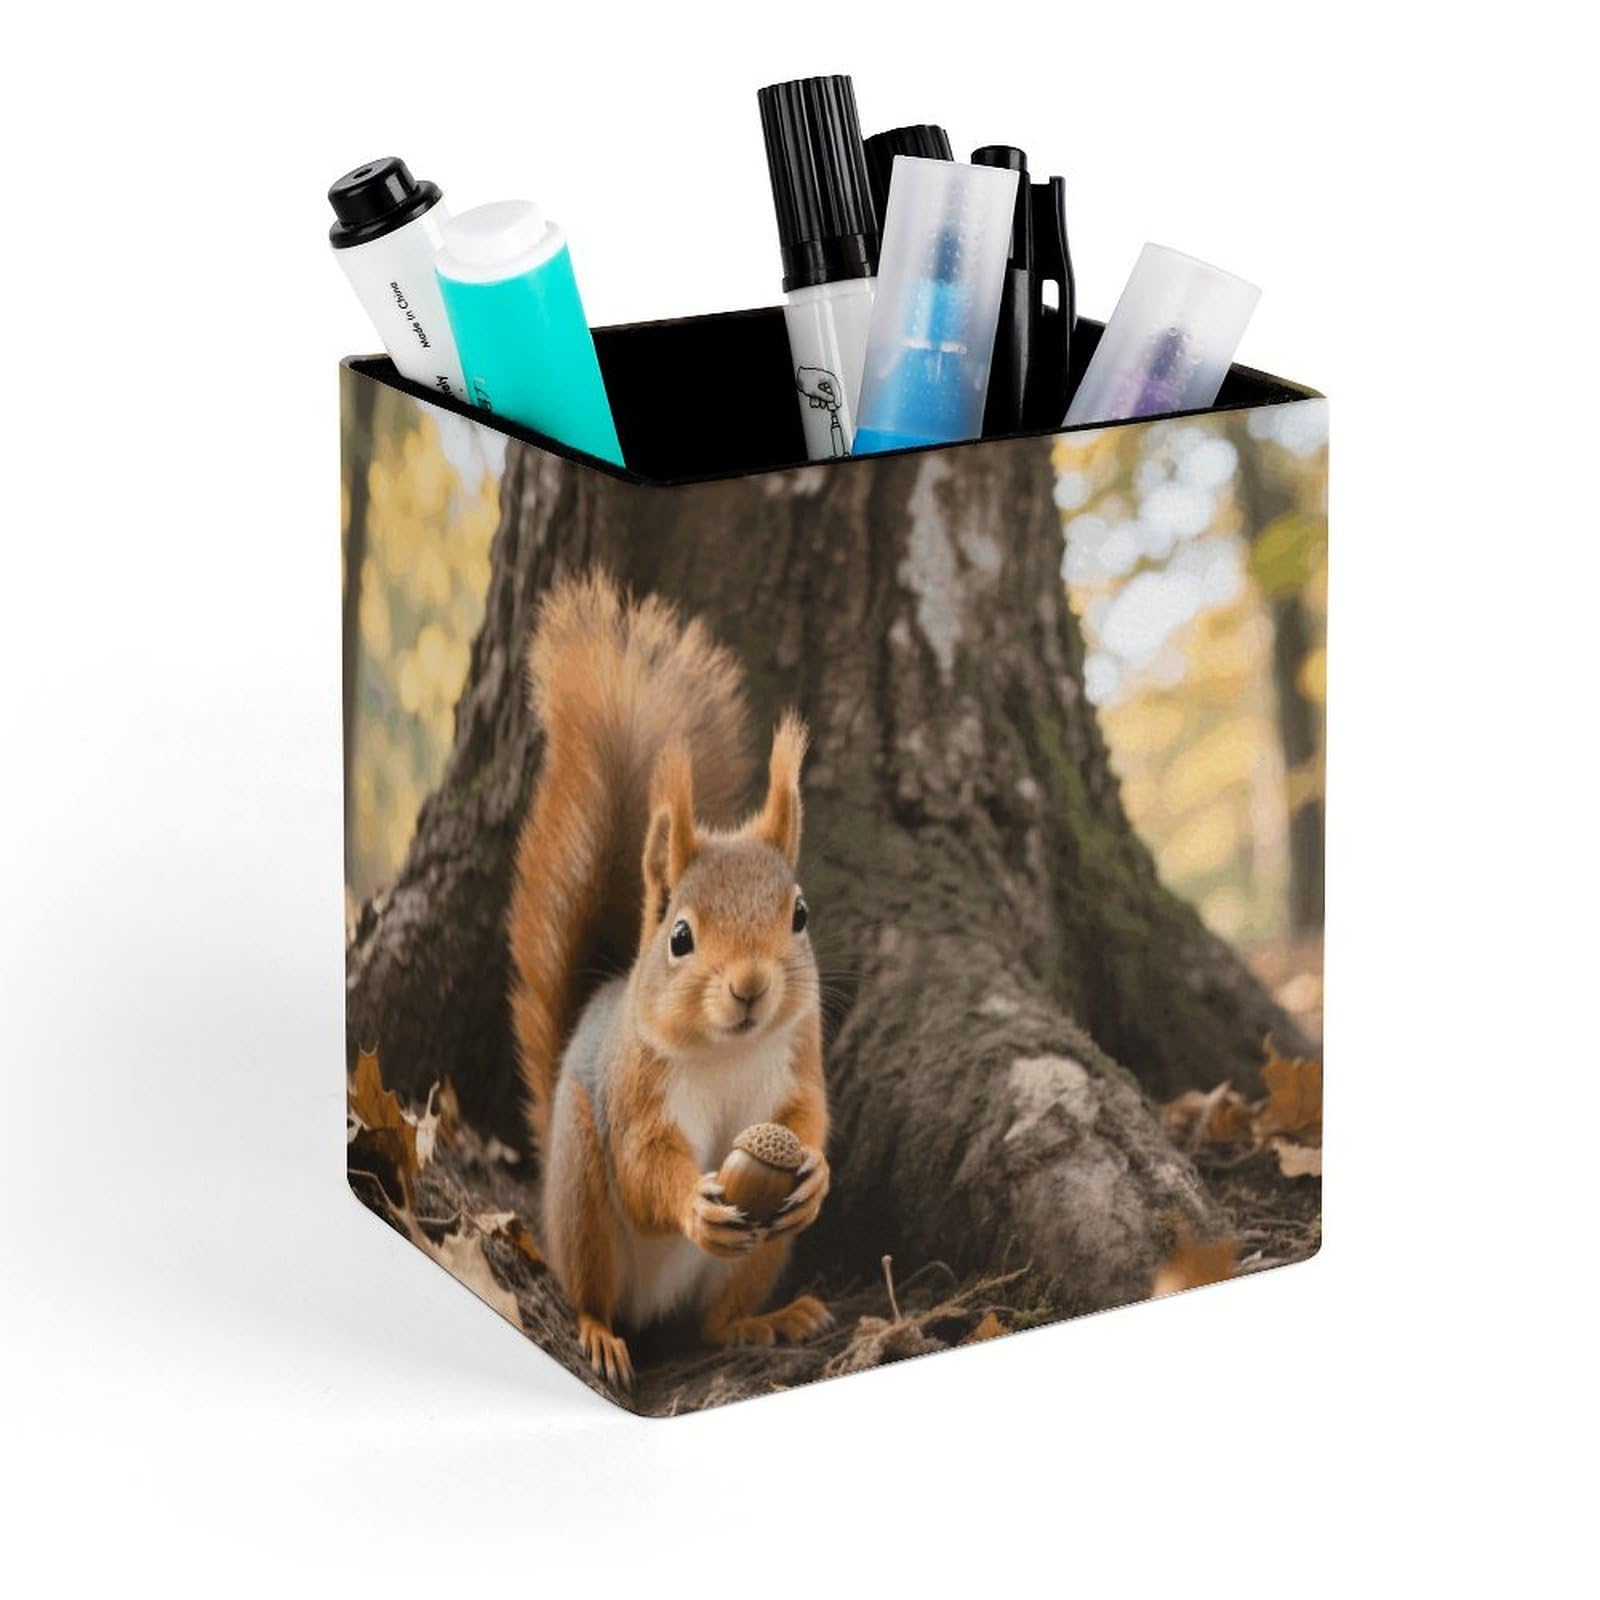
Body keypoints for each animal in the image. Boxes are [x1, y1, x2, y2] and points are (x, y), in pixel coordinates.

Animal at [508, 572, 831, 1389]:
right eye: (680, 936)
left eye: (800, 914)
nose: (750, 988)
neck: (727, 1050)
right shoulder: (637, 1087)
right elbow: (645, 1162)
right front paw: (690, 1202)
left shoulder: (798, 1061)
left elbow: (810, 1117)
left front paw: (815, 1171)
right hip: (582, 1196)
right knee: (592, 1288)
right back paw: (600, 1333)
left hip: (757, 1256)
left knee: (715, 1321)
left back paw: (764, 1321)